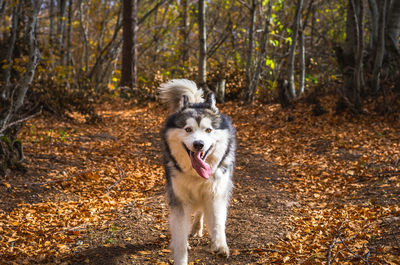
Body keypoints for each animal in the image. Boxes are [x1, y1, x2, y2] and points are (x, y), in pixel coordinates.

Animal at [158, 79, 236, 264]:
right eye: (188, 129)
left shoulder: (216, 192)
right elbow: (180, 237)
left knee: (200, 211)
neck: (196, 176)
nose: (199, 144)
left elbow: (217, 220)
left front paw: (220, 244)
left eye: (208, 130)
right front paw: (181, 254)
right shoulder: (179, 199)